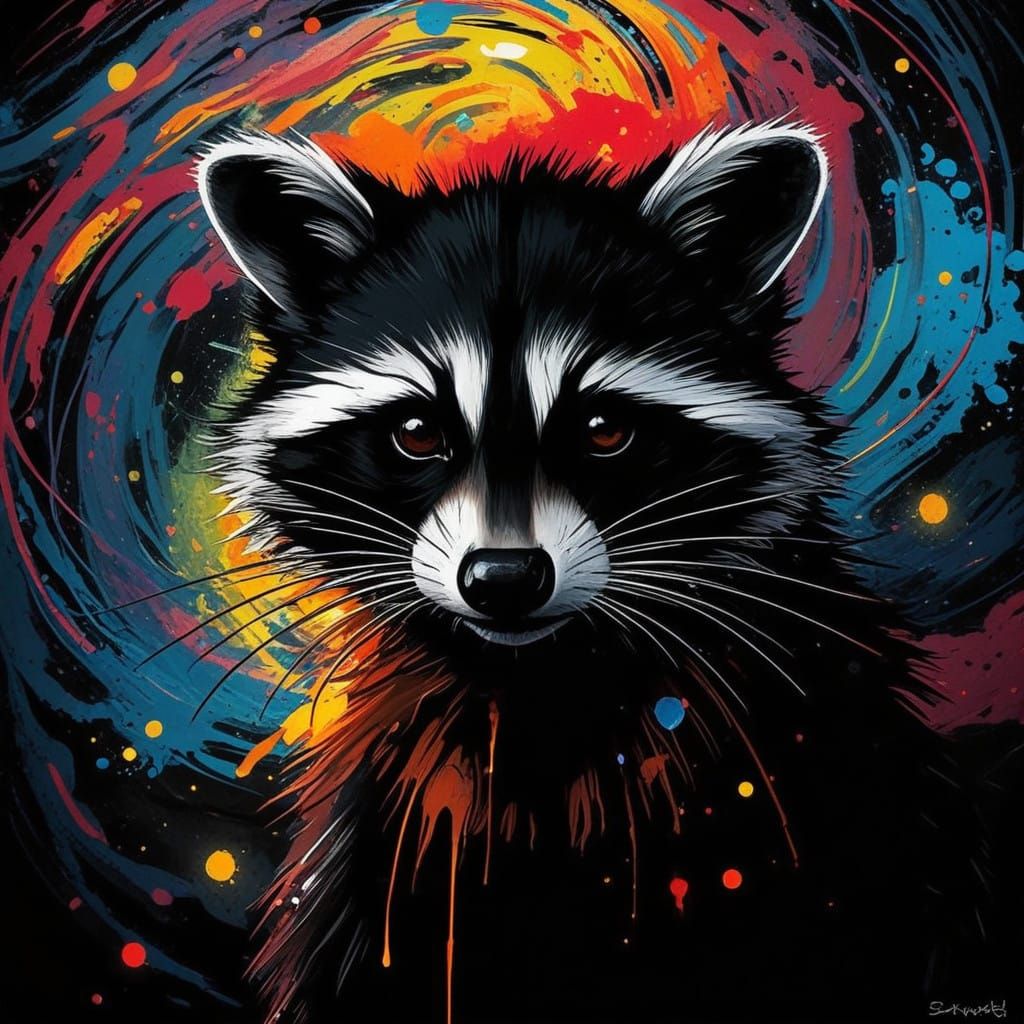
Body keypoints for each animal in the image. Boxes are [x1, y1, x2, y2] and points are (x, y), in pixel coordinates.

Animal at [196, 124, 1014, 1023]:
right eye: (417, 432)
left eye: (604, 430)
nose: (505, 577)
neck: (540, 683)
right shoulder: (398, 818)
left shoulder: (828, 768)